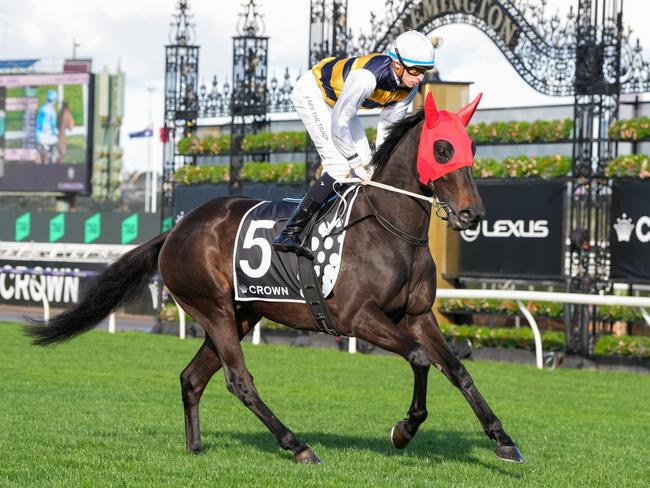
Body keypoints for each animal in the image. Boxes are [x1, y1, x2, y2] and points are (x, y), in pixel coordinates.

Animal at [25, 92, 524, 466]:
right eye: (442, 149)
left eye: (473, 149)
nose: (472, 214)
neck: (389, 229)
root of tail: (177, 228)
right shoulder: (357, 317)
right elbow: (420, 359)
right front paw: (404, 429)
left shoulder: (418, 315)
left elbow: (457, 369)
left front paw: (502, 439)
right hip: (214, 308)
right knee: (238, 381)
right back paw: (297, 445)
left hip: (241, 313)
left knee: (192, 377)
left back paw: (195, 447)